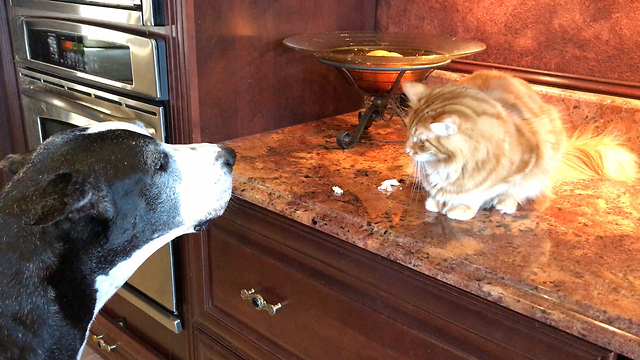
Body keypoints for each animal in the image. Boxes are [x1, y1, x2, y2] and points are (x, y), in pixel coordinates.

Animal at [402, 71, 636, 219]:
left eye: (421, 140)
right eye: (408, 132)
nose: (407, 150)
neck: (448, 165)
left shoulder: (523, 163)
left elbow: (480, 191)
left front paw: (461, 206)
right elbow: (437, 190)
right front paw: (437, 200)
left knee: (521, 192)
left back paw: (505, 203)